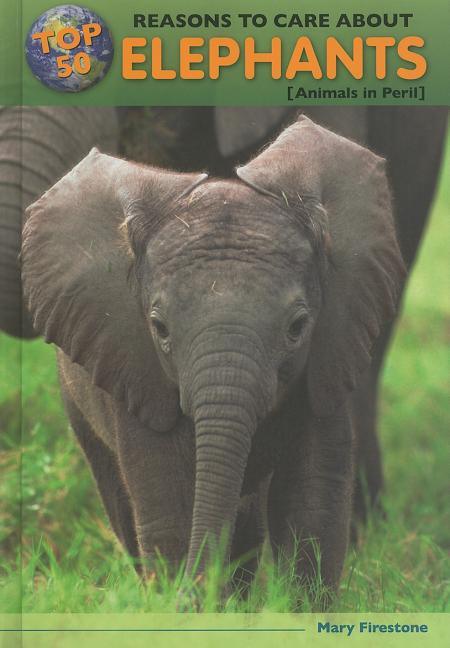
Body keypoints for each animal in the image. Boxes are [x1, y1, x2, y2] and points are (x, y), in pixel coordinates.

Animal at [21, 115, 409, 602]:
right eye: (159, 329)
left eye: (298, 327)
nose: (193, 595)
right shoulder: (136, 370)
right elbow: (167, 505)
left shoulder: (328, 355)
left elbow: (312, 499)